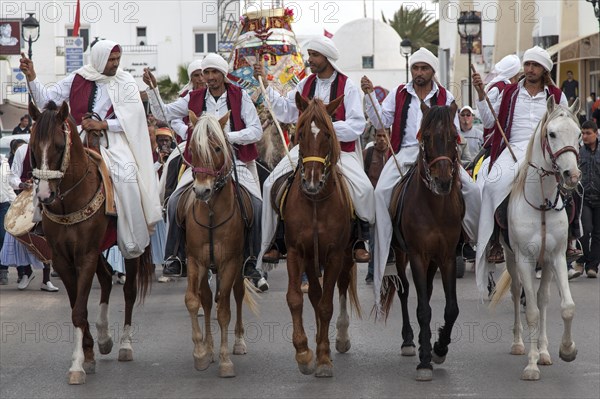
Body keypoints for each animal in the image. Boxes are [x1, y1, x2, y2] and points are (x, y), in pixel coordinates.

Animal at [29, 101, 154, 386]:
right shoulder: (63, 259)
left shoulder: (85, 254)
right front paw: (87, 354)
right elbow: (78, 305)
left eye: (59, 146)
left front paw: (76, 365)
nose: (44, 195)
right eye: (32, 147)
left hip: (128, 246)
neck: (69, 199)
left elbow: (78, 310)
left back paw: (124, 345)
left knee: (129, 290)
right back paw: (104, 339)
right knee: (107, 279)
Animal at [176, 111, 255, 378]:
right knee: (208, 299)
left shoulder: (230, 262)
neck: (211, 212)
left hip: (239, 266)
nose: (202, 191)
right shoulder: (195, 261)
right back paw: (209, 348)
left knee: (237, 295)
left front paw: (225, 361)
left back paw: (238, 342)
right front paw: (201, 352)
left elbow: (224, 311)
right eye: (192, 150)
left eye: (218, 148)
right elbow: (194, 300)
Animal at [282, 93, 360, 378]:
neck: (315, 202)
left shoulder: (335, 253)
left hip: (345, 256)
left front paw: (324, 358)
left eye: (328, 134)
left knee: (342, 286)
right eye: (301, 132)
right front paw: (304, 353)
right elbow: (296, 299)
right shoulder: (296, 251)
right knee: (314, 294)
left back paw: (340, 337)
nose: (312, 183)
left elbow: (327, 304)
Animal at [384, 102, 464, 382]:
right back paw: (410, 340)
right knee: (407, 291)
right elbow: (422, 309)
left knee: (426, 291)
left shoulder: (447, 256)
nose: (443, 181)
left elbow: (451, 308)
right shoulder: (418, 255)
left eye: (454, 135)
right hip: (401, 254)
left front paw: (439, 348)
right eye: (426, 136)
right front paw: (425, 361)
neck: (435, 207)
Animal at [492, 97, 580, 382]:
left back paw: (543, 351)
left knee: (542, 300)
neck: (541, 203)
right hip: (511, 260)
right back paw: (520, 344)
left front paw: (566, 350)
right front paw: (530, 366)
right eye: (551, 134)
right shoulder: (525, 259)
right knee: (517, 294)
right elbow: (529, 310)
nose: (572, 176)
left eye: (578, 134)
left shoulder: (557, 257)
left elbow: (566, 306)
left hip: (547, 264)